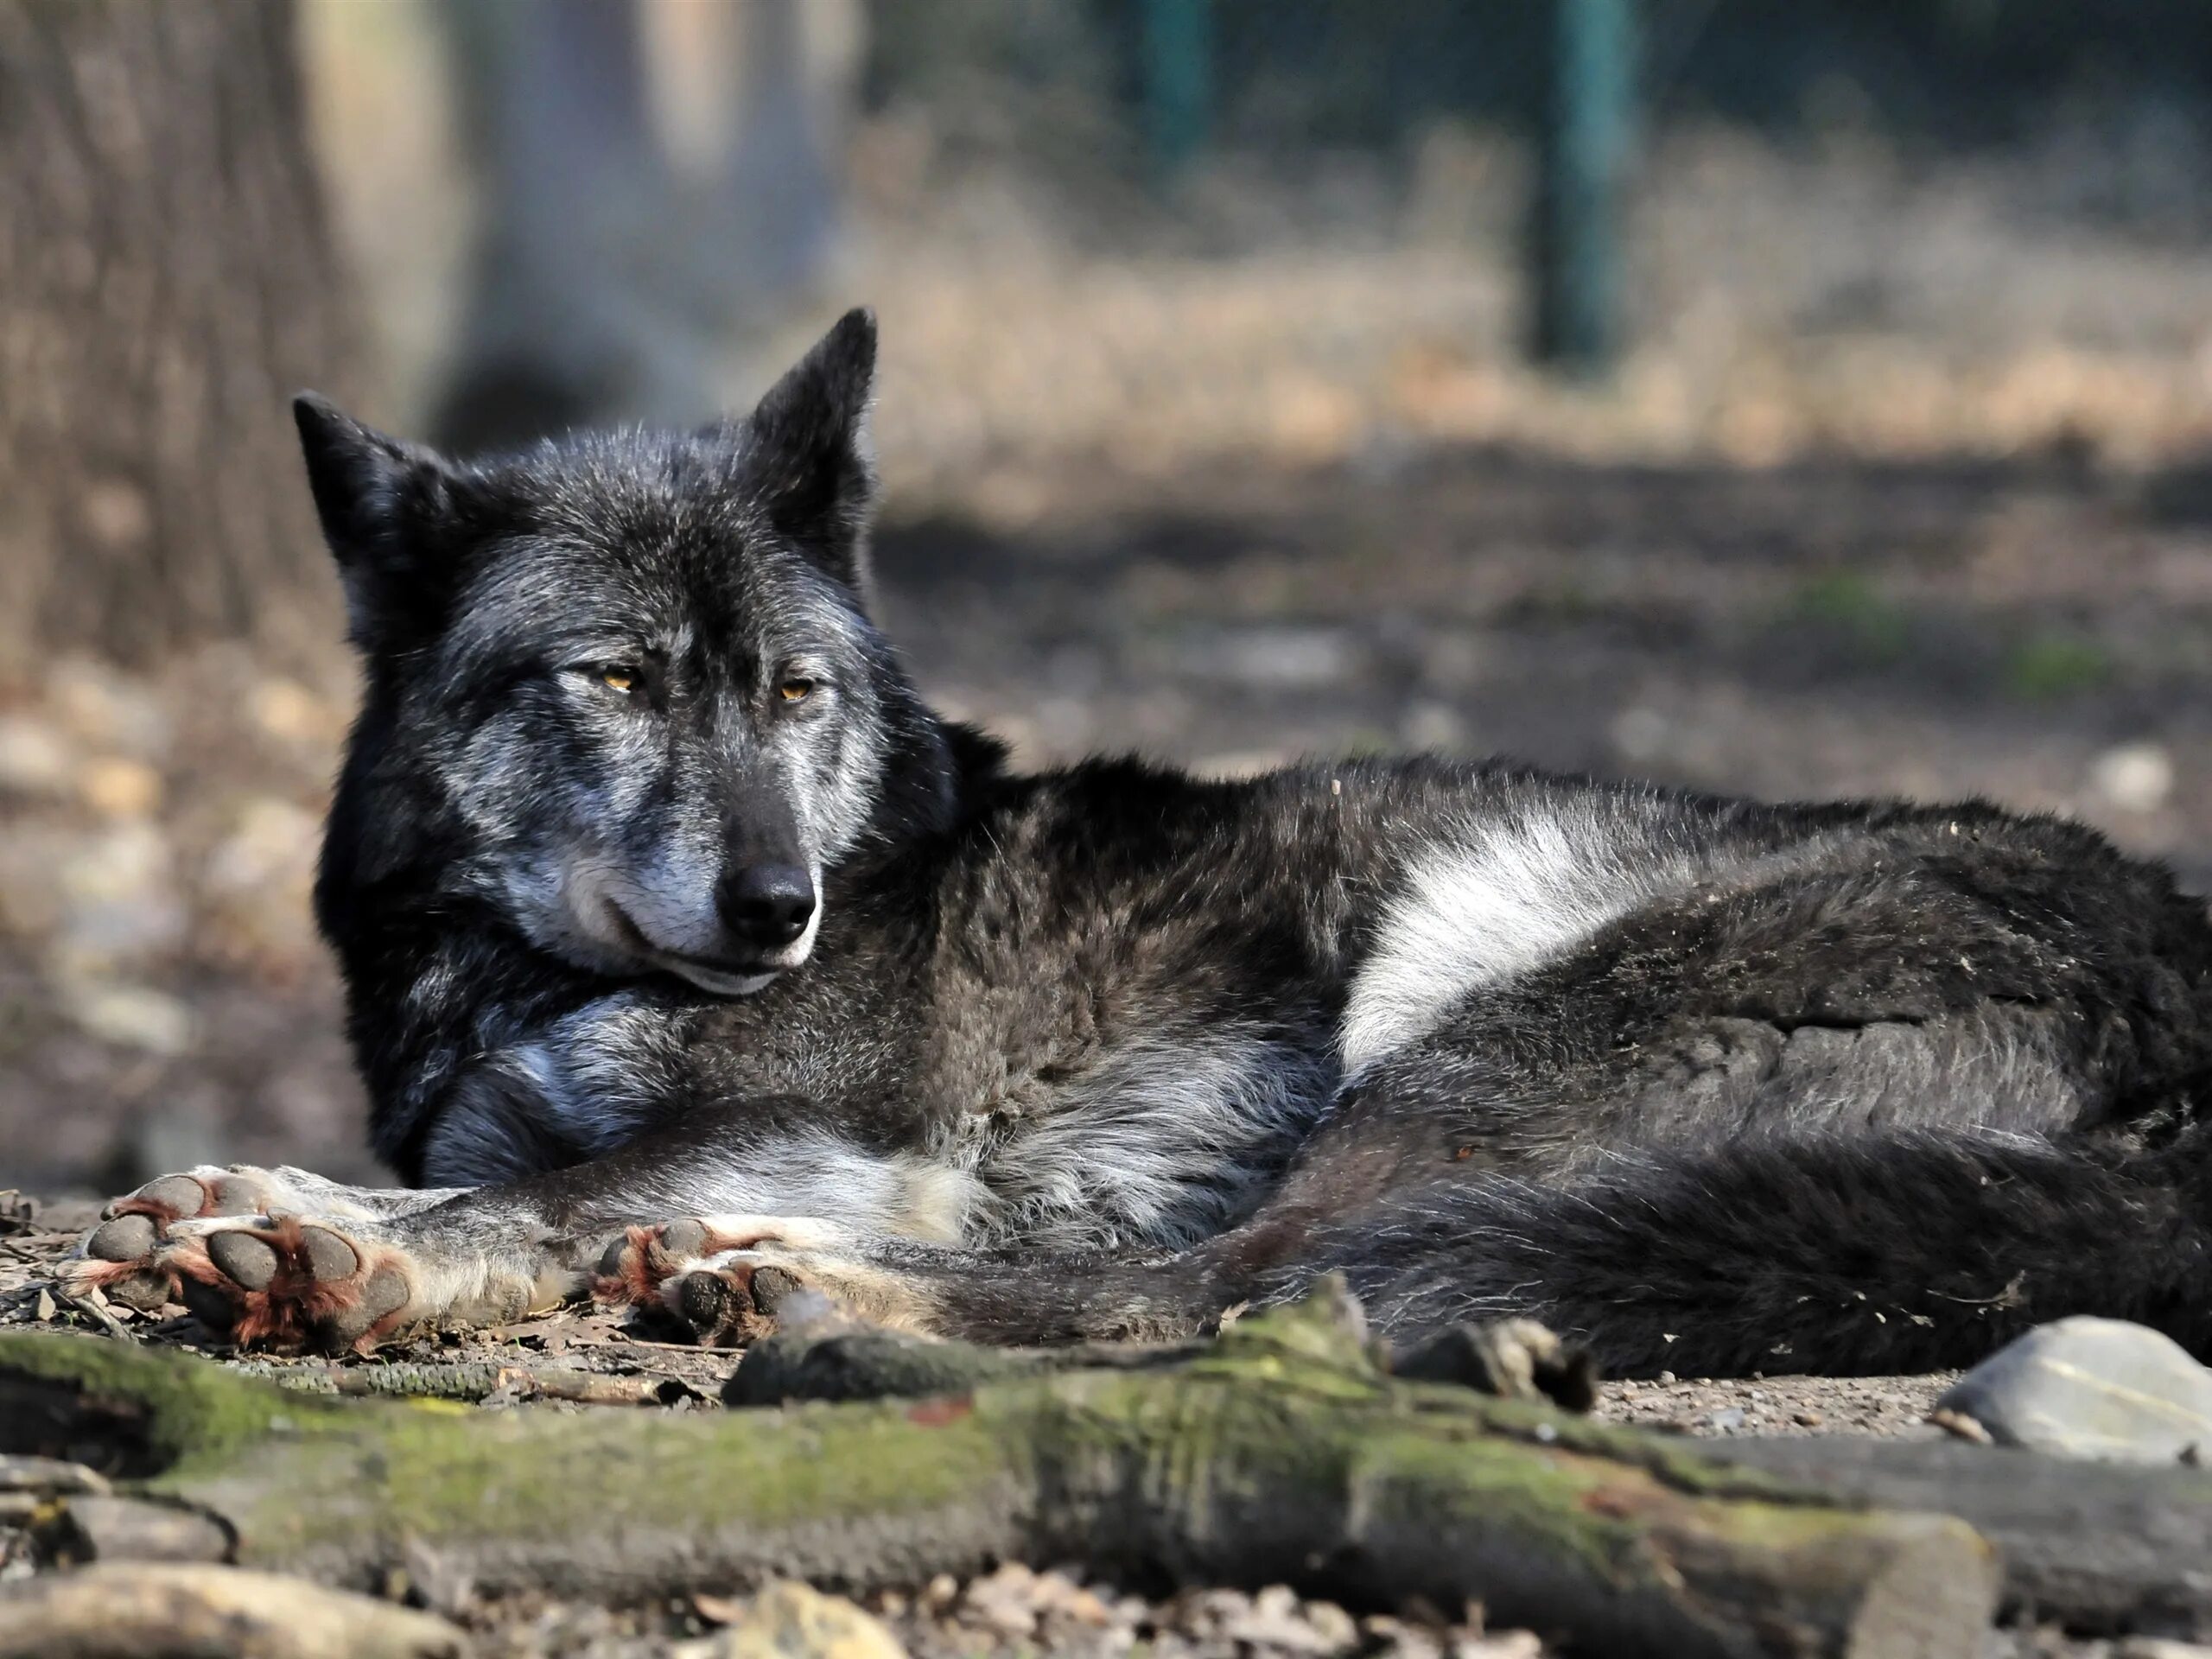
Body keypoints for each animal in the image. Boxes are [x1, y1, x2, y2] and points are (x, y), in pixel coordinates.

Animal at [60, 309, 2212, 1380]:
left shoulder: (824, 1125)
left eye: (793, 692)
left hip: (1480, 994)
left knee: (1254, 1289)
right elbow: (468, 1174)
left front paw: (353, 1260)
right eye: (610, 680)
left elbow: (532, 1205)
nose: (779, 909)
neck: (511, 972)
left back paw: (796, 1294)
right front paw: (252, 1197)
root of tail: (2176, 968)